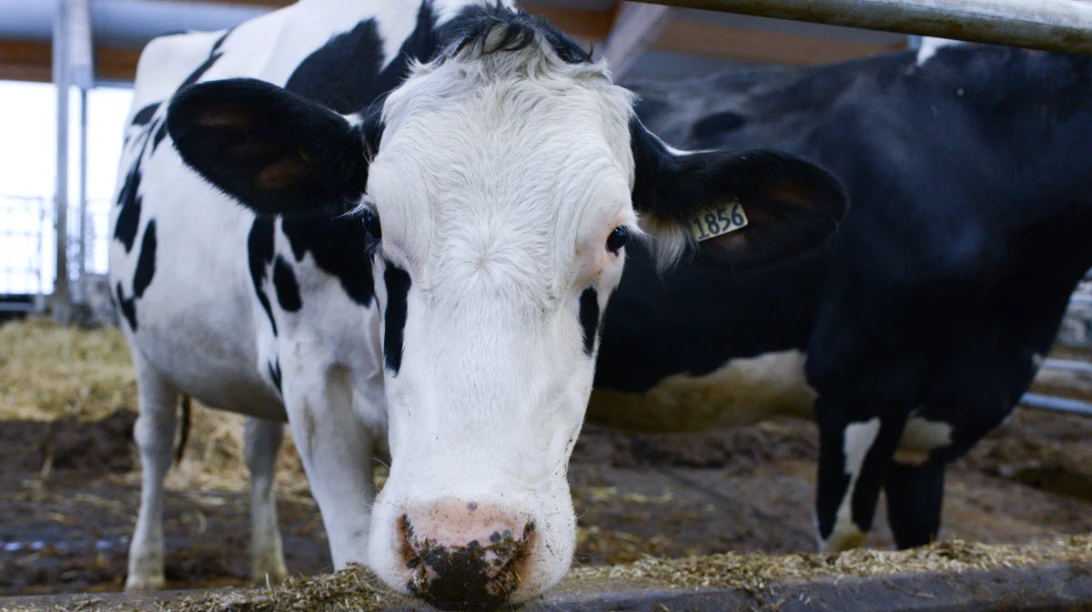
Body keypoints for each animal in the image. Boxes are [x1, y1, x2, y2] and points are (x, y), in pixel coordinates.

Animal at [109, 0, 847, 605]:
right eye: (371, 222)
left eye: (617, 236)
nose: (463, 548)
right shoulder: (315, 378)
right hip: (145, 343)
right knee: (153, 442)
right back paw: (143, 572)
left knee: (257, 446)